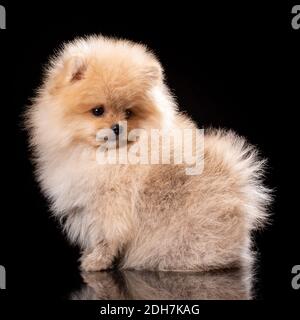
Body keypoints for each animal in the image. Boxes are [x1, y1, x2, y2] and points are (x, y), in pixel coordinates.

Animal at [24, 37, 270, 272]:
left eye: (128, 112)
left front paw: (96, 262)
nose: (117, 127)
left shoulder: (113, 204)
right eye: (98, 111)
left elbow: (108, 237)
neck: (105, 156)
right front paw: (91, 256)